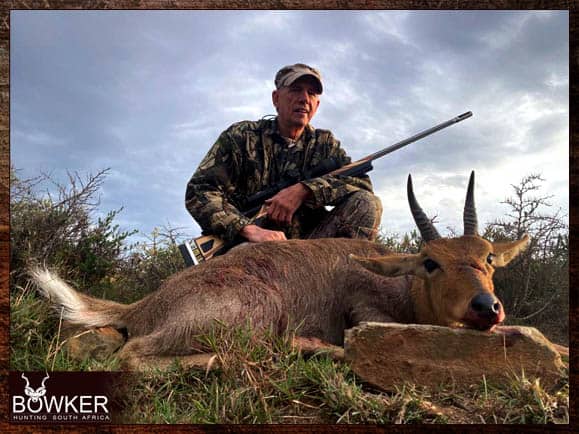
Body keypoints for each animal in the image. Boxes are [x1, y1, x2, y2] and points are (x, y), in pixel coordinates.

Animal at [30, 171, 532, 368]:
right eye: (430, 262)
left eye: (488, 257)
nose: (486, 307)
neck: (399, 286)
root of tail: (149, 302)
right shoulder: (365, 312)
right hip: (254, 315)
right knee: (133, 355)